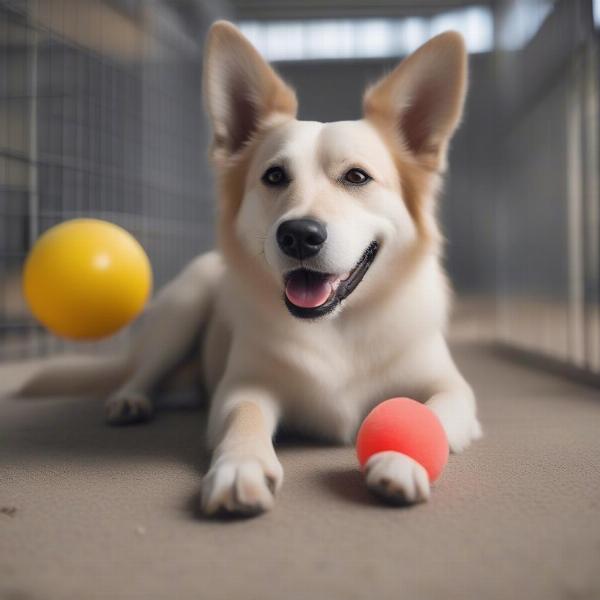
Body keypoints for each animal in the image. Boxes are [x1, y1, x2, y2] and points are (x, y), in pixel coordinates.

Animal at [12, 22, 482, 516]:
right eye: (274, 176)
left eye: (356, 177)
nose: (299, 235)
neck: (336, 328)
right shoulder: (244, 385)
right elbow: (245, 416)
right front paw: (240, 467)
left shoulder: (451, 387)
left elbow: (431, 413)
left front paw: (401, 457)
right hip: (184, 306)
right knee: (142, 370)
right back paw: (130, 399)